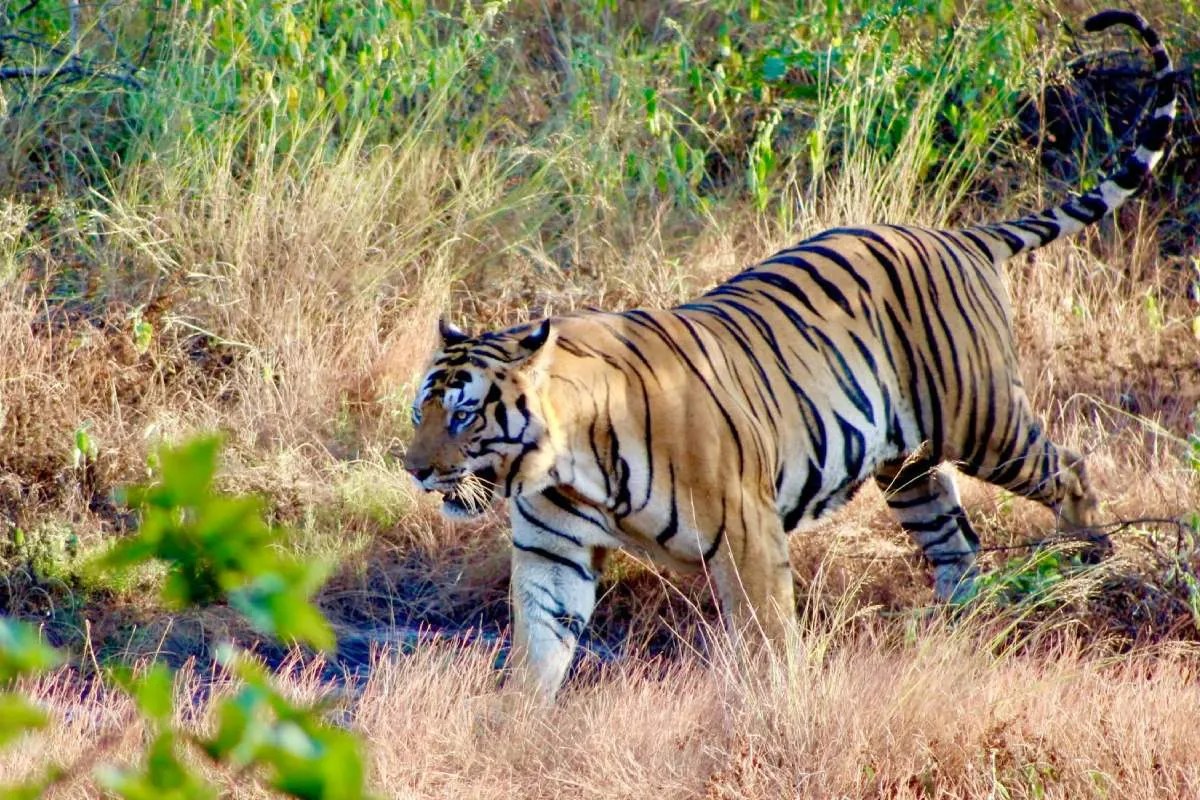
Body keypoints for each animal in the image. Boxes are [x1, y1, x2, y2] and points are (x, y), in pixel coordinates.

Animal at [403, 10, 1177, 701]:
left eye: (465, 415)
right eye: (421, 413)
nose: (414, 470)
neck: (566, 466)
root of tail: (958, 236)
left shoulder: (746, 534)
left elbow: (768, 641)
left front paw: (778, 708)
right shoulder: (551, 554)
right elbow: (537, 653)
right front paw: (518, 729)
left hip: (982, 420)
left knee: (1069, 469)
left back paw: (1093, 564)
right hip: (910, 466)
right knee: (957, 541)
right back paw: (956, 629)